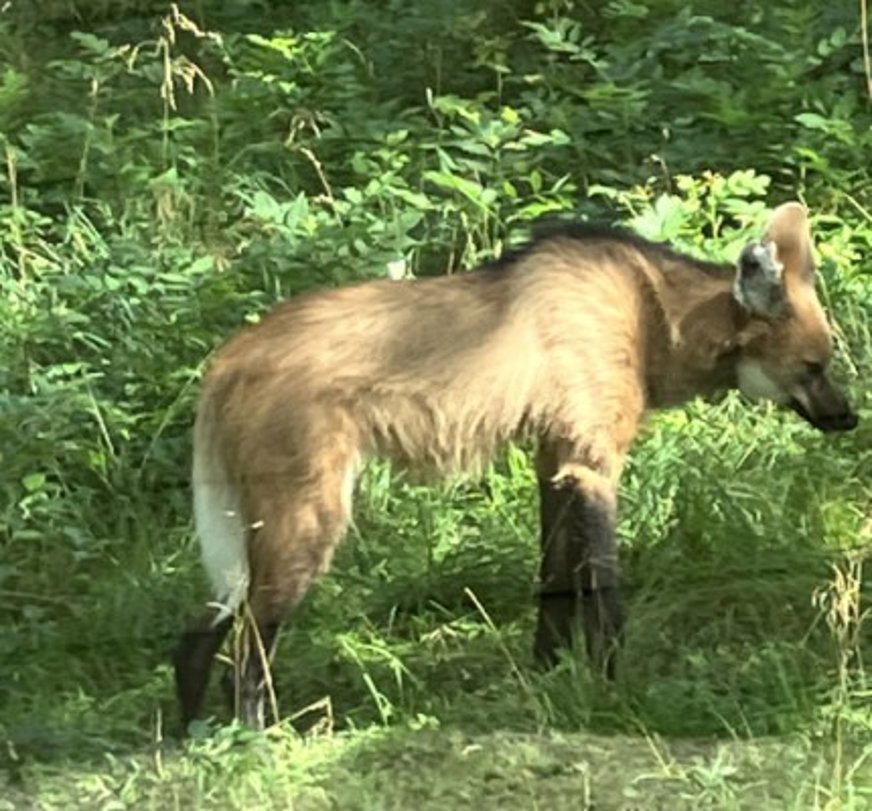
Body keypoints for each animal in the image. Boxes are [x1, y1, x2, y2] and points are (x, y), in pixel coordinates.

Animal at [174, 201, 856, 728]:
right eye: (813, 367)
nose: (848, 418)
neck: (654, 315)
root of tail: (228, 357)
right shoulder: (591, 460)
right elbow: (603, 586)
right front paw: (613, 684)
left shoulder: (555, 456)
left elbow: (554, 578)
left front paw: (546, 674)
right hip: (312, 514)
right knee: (247, 637)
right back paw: (259, 735)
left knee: (201, 629)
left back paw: (193, 736)